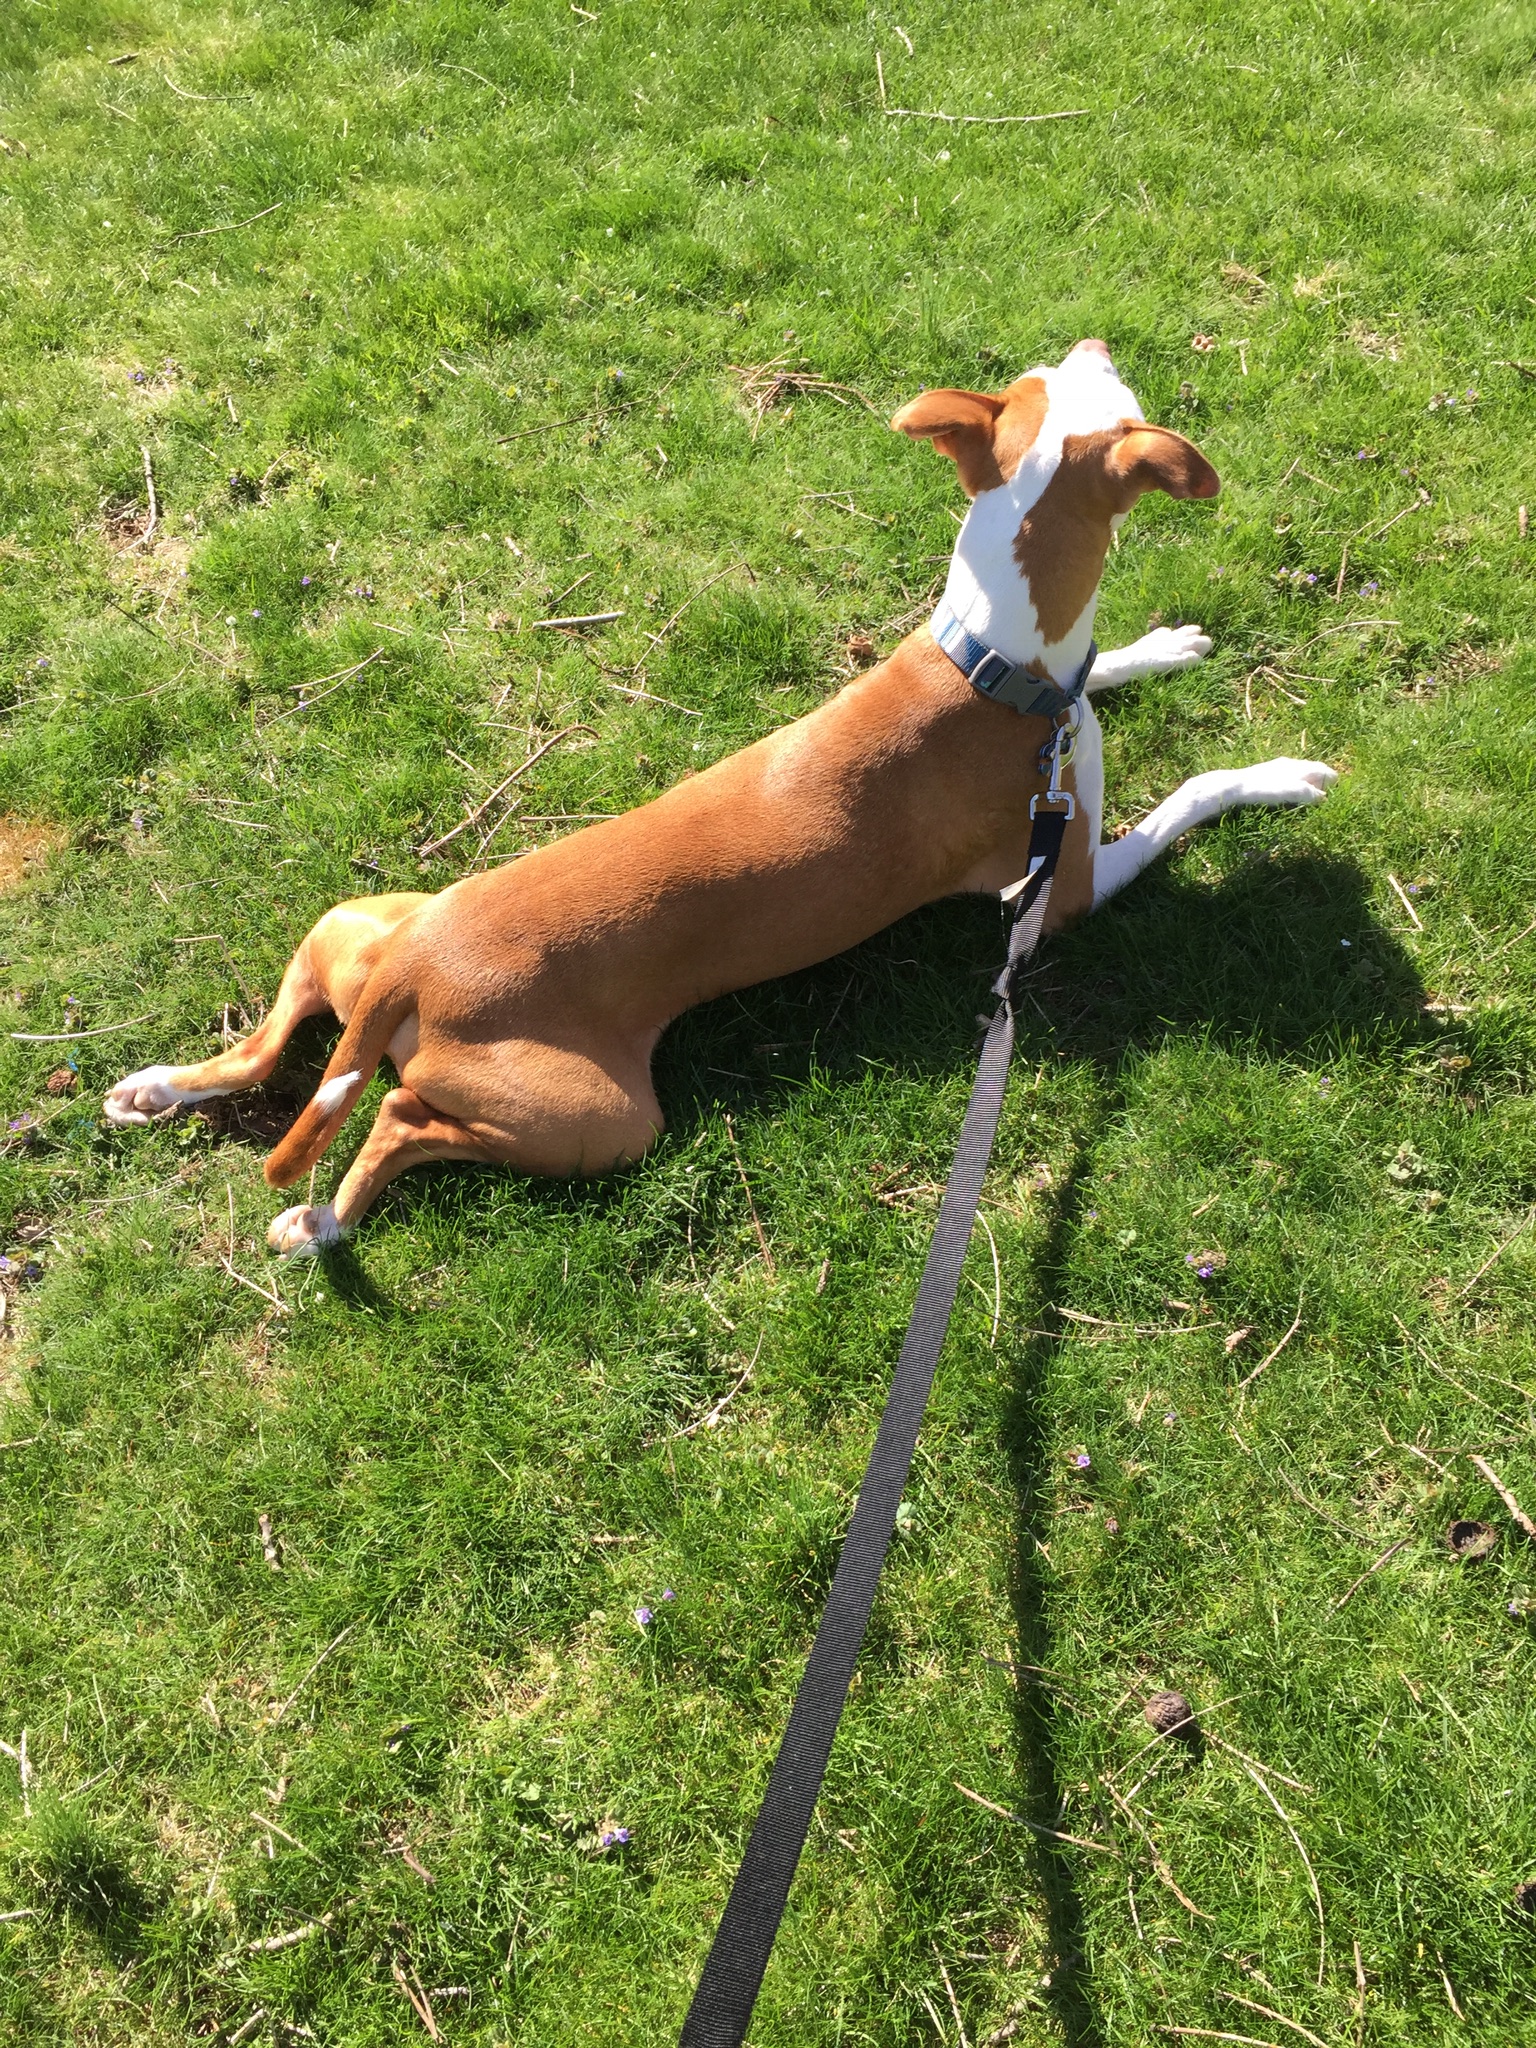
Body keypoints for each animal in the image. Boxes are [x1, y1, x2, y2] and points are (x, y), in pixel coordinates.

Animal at [105, 339, 1335, 1245]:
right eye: (1109, 393)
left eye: (1051, 380)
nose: (1094, 338)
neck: (987, 659)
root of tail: (417, 968)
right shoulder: (1054, 886)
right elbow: (1185, 797)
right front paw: (1277, 776)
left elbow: (1110, 669)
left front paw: (1162, 646)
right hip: (604, 1116)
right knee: (402, 1115)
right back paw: (325, 1221)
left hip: (355, 927)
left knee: (275, 1043)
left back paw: (157, 1087)